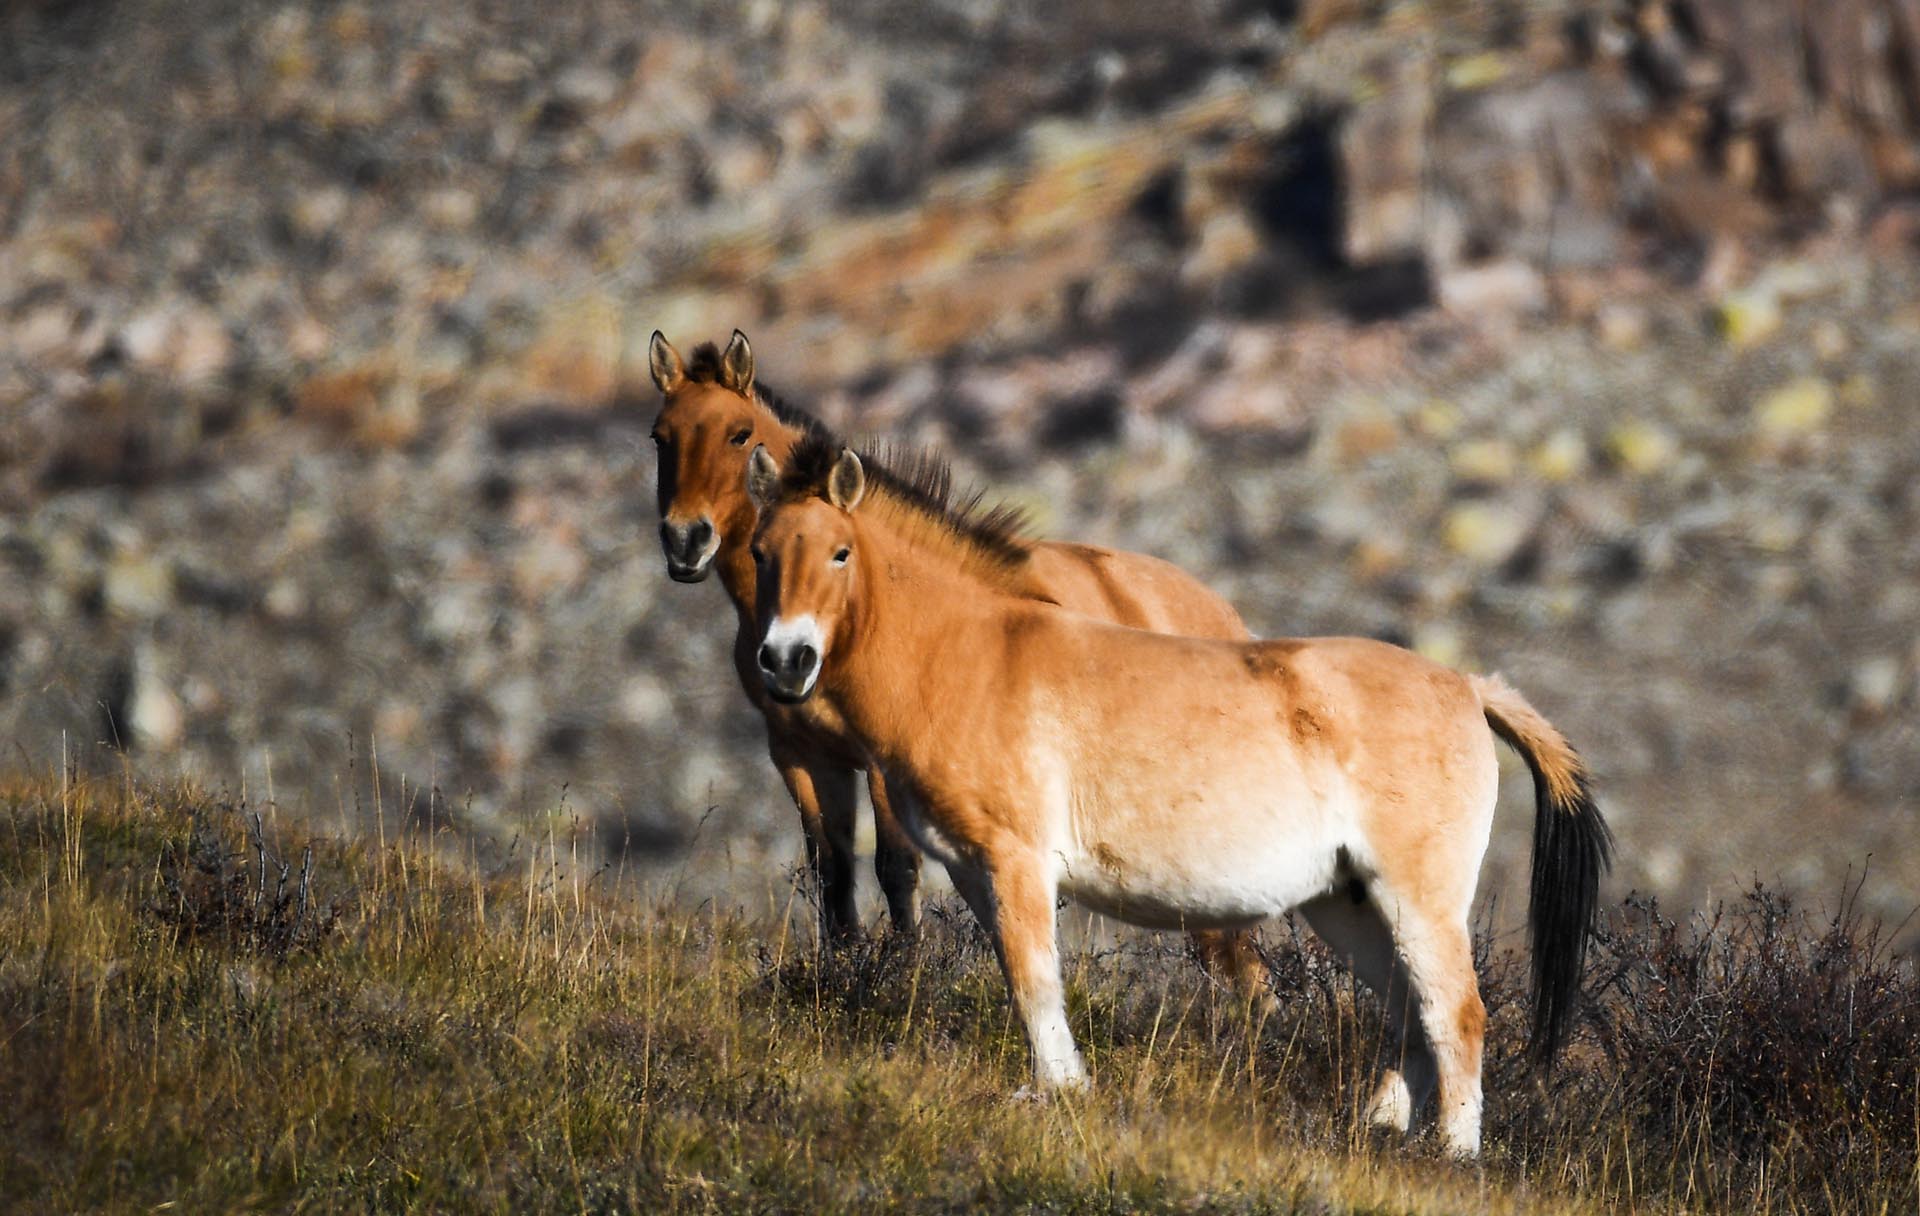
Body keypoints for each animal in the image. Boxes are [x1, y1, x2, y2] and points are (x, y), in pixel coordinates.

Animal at [641, 332, 1274, 1006]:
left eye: (739, 434)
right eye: (660, 436)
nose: (686, 540)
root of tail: (1228, 619)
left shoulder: (884, 762)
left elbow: (896, 867)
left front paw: (903, 976)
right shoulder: (799, 753)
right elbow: (832, 870)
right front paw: (842, 973)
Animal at [741, 437, 1612, 1160]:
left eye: (840, 552)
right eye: (760, 551)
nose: (785, 660)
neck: (973, 653)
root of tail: (1467, 686)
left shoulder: (1016, 862)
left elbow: (1034, 981)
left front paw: (1059, 1094)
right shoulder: (973, 870)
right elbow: (1022, 977)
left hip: (1417, 897)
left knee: (1455, 1016)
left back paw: (1453, 1156)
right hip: (1349, 901)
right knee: (1408, 1014)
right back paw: (1377, 1132)